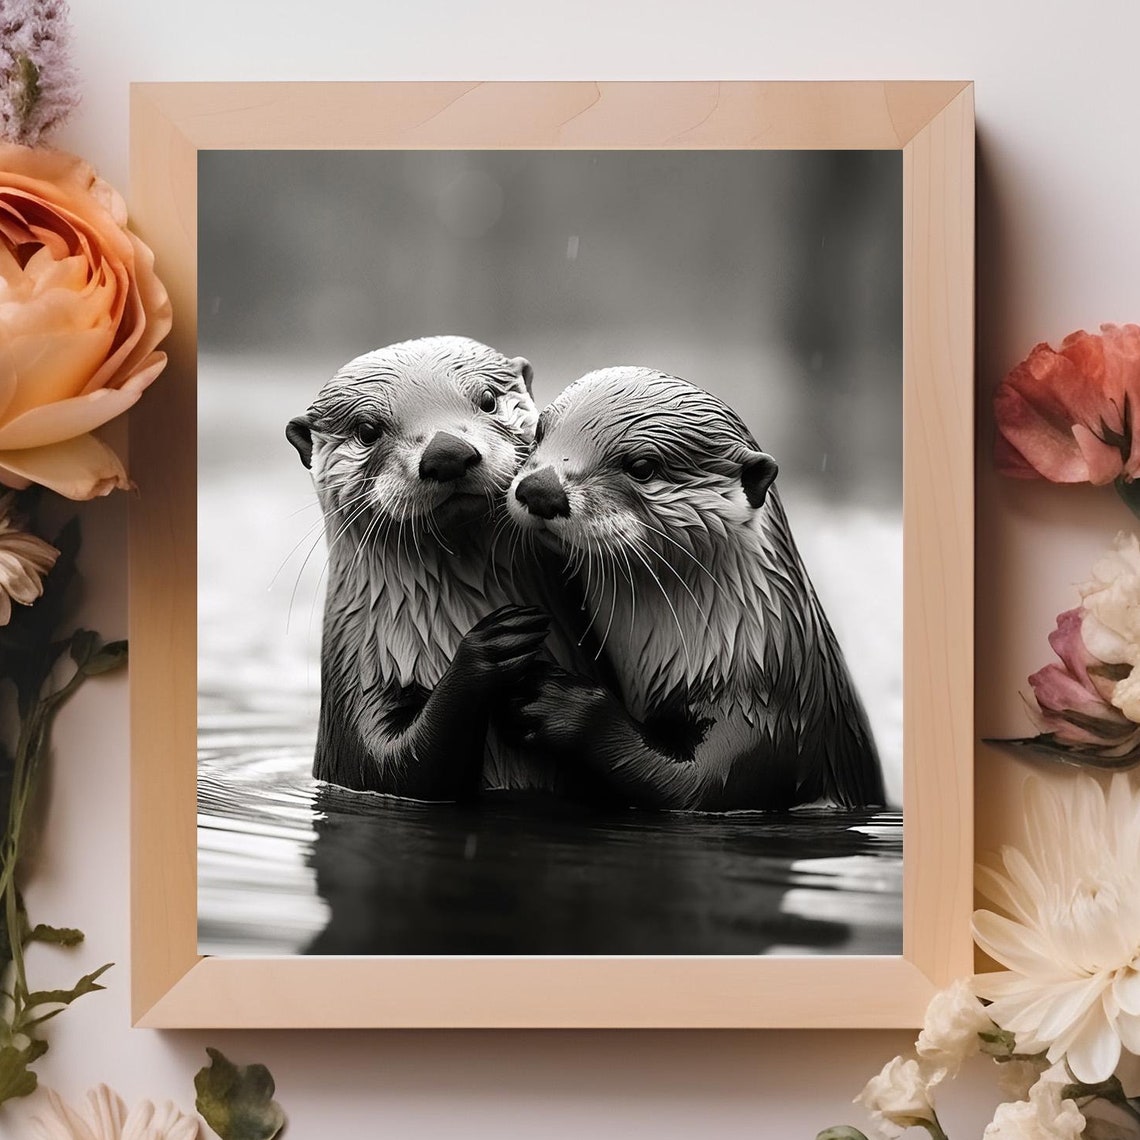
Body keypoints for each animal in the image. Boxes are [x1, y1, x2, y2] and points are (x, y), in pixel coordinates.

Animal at [285, 335, 592, 800]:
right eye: (367, 431)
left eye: (487, 400)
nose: (447, 452)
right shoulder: (353, 695)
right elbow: (397, 765)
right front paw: (492, 645)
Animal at [505, 366, 886, 812]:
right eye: (539, 431)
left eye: (642, 466)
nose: (540, 489)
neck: (738, 651)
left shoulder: (763, 731)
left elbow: (687, 785)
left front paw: (559, 701)